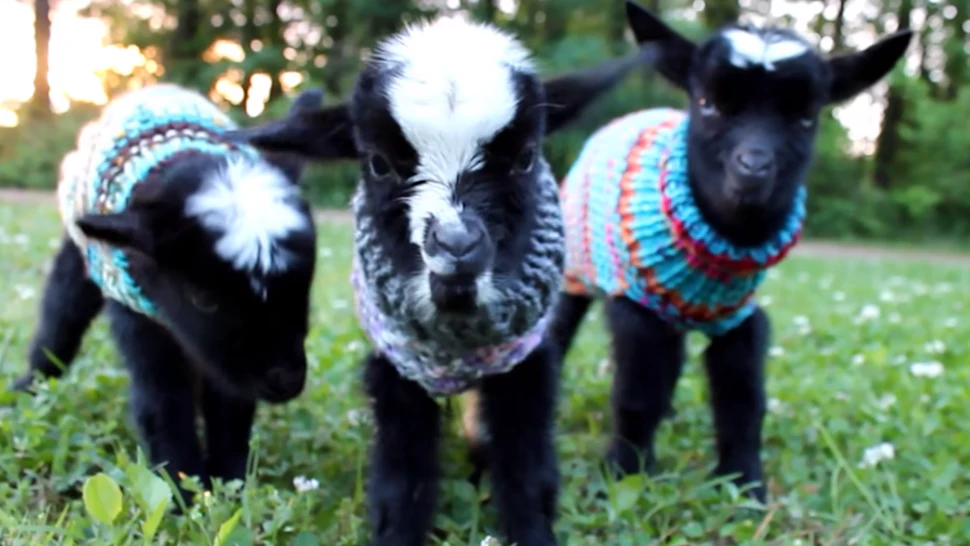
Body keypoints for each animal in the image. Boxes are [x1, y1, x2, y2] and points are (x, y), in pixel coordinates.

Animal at [12, 85, 323, 506]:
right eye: (202, 298)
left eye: (304, 284)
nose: (287, 380)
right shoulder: (137, 310)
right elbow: (162, 401)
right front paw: (184, 492)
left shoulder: (228, 363)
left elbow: (230, 404)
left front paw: (231, 486)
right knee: (61, 313)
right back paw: (30, 385)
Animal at [228, 15, 644, 546]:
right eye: (378, 163)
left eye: (526, 157)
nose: (456, 246)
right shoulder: (395, 361)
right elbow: (402, 475)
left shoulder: (525, 358)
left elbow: (526, 466)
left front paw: (531, 531)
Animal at [549, 1, 913, 503]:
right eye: (707, 104)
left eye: (806, 117)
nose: (753, 167)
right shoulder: (638, 308)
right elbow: (635, 393)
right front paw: (624, 473)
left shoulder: (739, 318)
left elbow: (743, 397)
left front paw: (744, 485)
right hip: (575, 268)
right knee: (565, 328)